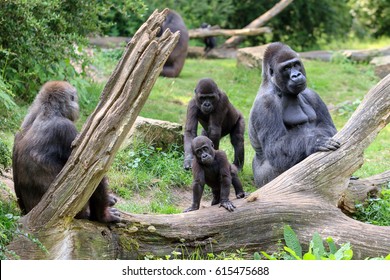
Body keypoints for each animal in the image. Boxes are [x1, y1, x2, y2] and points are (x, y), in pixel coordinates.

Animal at [248, 42, 340, 188]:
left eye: (296, 64)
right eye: (286, 68)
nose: (296, 75)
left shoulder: (313, 95)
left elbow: (329, 128)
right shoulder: (266, 104)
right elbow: (275, 146)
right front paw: (314, 142)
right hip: (262, 182)